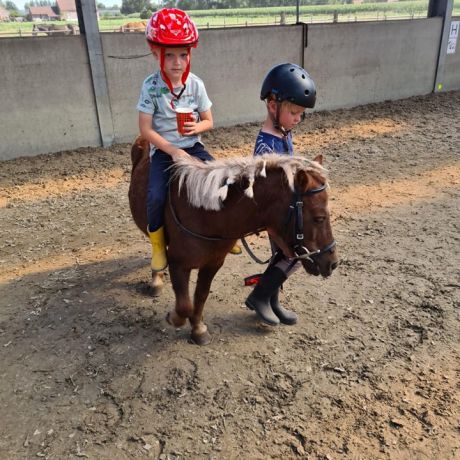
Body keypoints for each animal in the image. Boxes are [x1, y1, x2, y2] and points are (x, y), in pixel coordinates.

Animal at [128, 137, 338, 344]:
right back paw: (156, 277)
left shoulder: (213, 263)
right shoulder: (178, 264)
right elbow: (184, 306)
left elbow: (201, 295)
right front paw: (173, 318)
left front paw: (198, 329)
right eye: (319, 218)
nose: (333, 263)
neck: (205, 212)